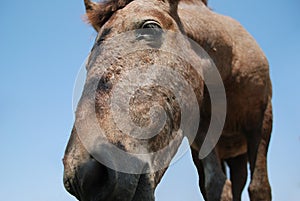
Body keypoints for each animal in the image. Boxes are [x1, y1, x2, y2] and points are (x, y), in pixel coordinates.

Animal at [62, 0, 272, 200]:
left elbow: (259, 187)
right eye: (88, 62)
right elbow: (216, 186)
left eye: (150, 27)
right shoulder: (203, 134)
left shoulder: (262, 122)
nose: (83, 177)